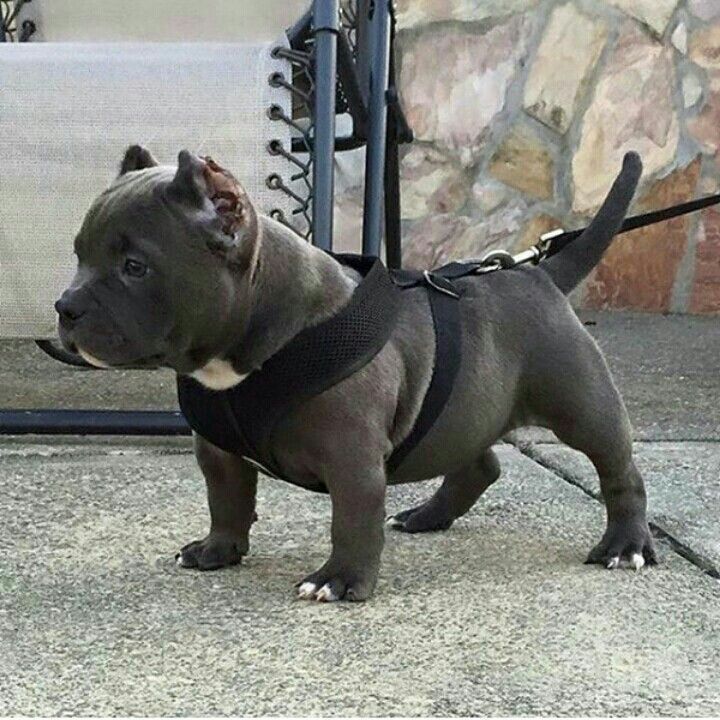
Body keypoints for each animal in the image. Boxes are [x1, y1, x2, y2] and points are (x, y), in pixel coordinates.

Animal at [54, 145, 652, 600]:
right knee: (478, 462)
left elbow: (352, 519)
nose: (66, 307)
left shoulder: (352, 459)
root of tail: (538, 274)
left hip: (583, 406)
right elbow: (226, 500)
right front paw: (217, 550)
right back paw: (428, 516)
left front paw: (340, 581)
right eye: (78, 255)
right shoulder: (218, 449)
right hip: (461, 410)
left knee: (619, 471)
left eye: (135, 267)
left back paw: (625, 545)